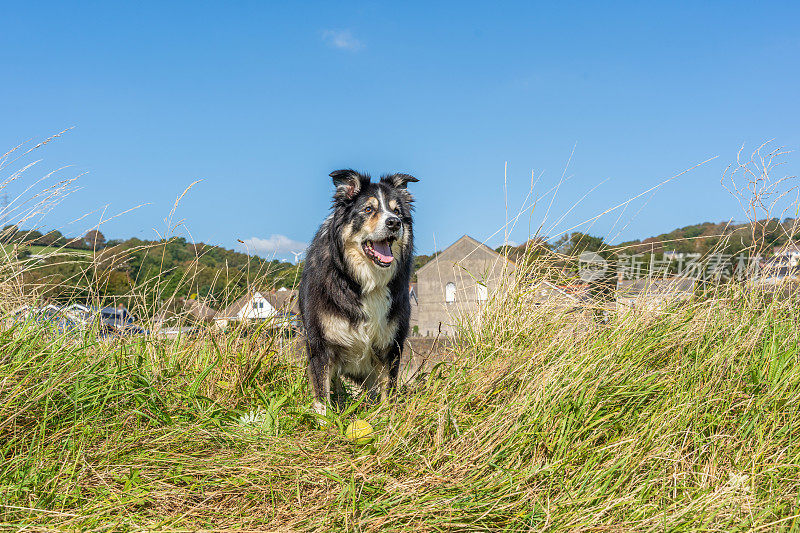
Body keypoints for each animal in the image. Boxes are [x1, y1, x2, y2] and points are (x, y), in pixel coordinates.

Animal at [300, 168, 418, 414]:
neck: (365, 280)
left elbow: (388, 392)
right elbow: (322, 395)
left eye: (397, 211)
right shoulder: (320, 345)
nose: (394, 223)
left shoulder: (391, 345)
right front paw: (326, 419)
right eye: (368, 209)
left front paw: (387, 418)